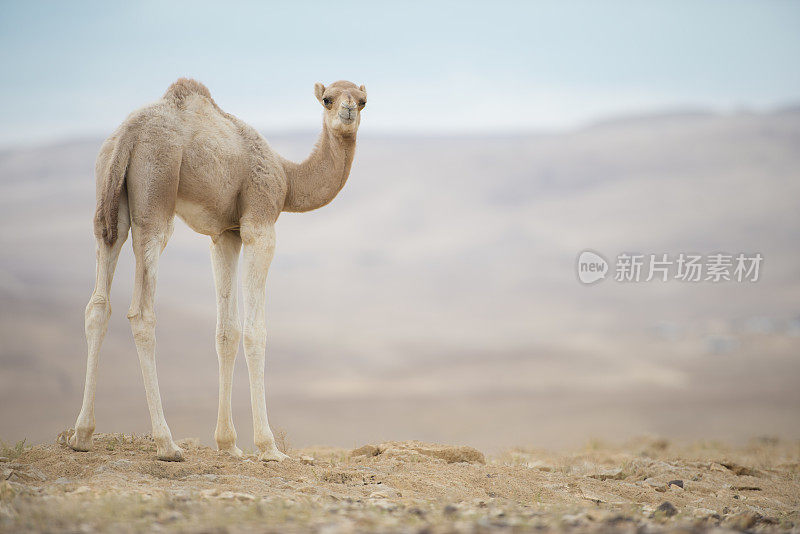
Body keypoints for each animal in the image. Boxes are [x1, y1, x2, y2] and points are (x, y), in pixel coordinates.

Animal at [69, 77, 368, 462]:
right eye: (328, 99)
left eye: (362, 100)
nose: (347, 111)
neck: (288, 179)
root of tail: (128, 134)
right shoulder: (259, 223)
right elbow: (256, 332)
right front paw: (268, 446)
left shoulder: (225, 234)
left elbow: (227, 332)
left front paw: (228, 443)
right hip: (155, 196)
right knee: (142, 312)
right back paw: (166, 443)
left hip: (109, 201)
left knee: (98, 303)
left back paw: (82, 435)